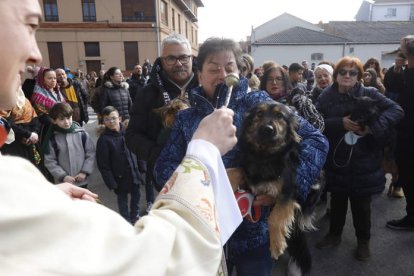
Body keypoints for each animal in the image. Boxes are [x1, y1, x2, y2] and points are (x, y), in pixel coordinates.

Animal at [230, 101, 324, 274]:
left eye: (280, 116)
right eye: (259, 114)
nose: (268, 129)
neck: (264, 156)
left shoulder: (288, 193)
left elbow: (274, 218)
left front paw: (276, 245)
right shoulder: (248, 172)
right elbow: (235, 170)